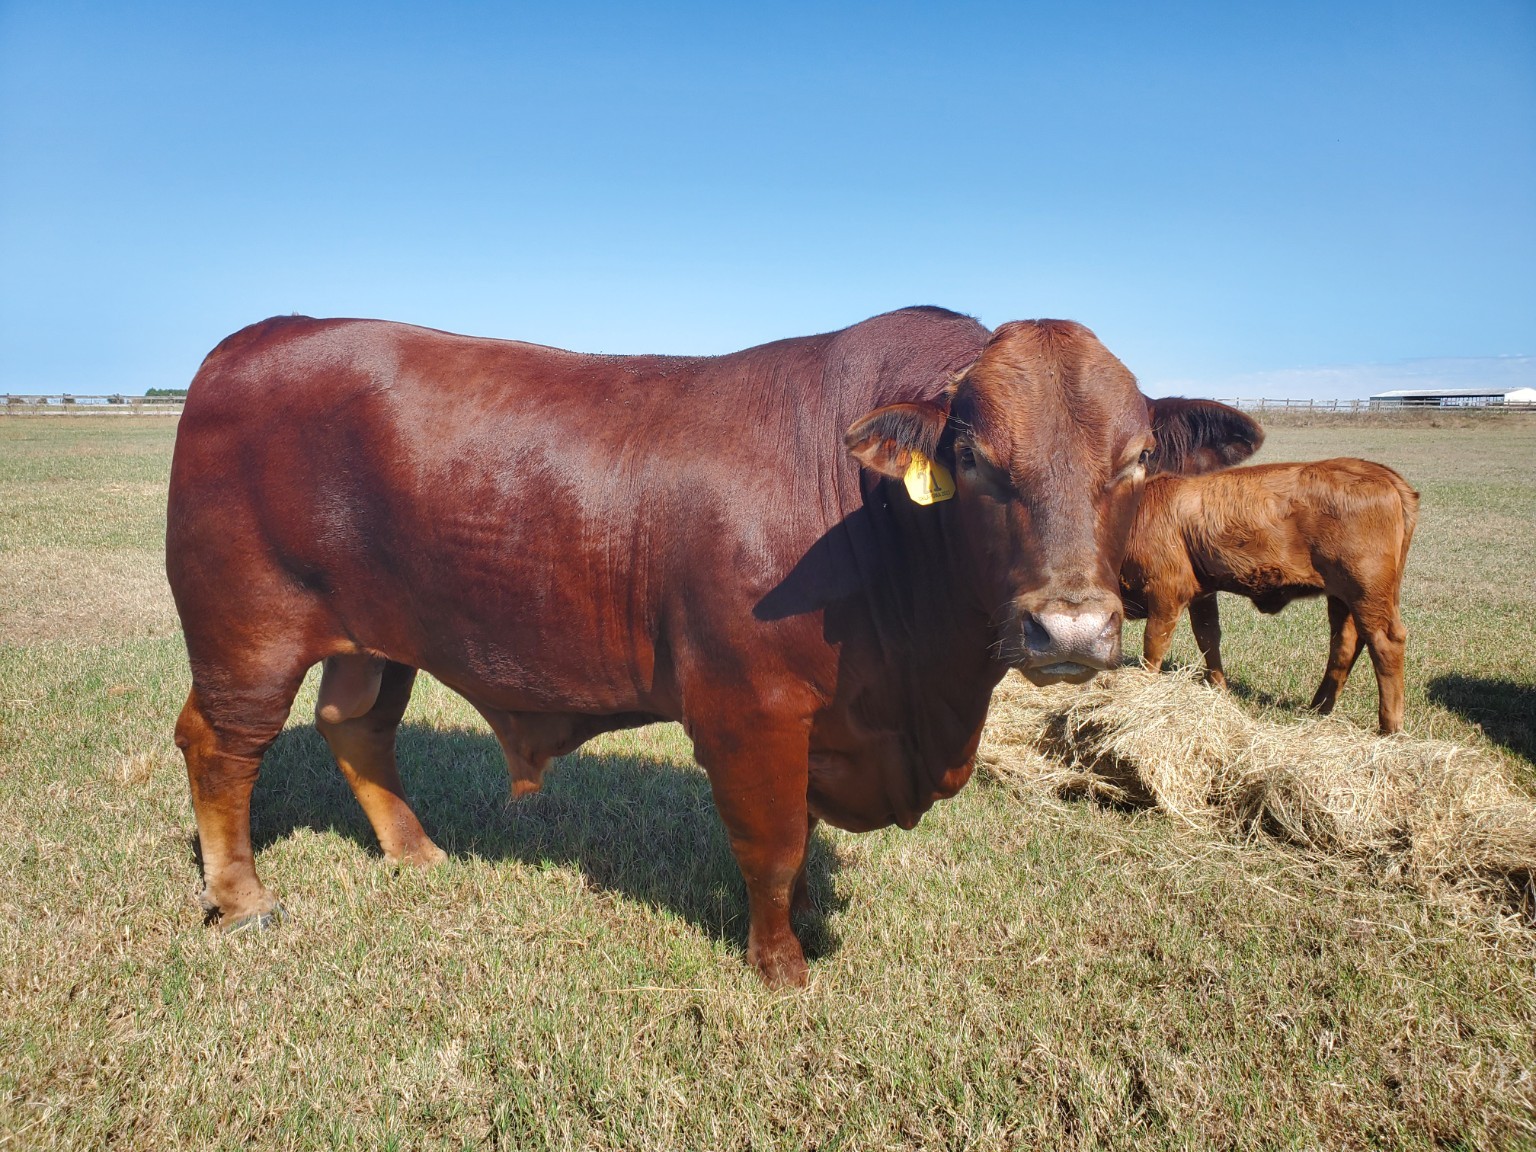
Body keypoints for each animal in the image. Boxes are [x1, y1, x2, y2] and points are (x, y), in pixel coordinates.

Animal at [166, 307, 1261, 986]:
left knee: (354, 725)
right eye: (980, 461)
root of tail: (258, 338)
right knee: (222, 745)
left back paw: (417, 853)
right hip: (247, 632)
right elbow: (770, 847)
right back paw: (242, 898)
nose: (1070, 626)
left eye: (1135, 462)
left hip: (375, 634)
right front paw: (782, 967)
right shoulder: (749, 709)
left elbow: (800, 843)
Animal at [1118, 458, 1419, 734]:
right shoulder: (1202, 594)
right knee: (1345, 644)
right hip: (1343, 596)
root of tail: (1376, 470)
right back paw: (1319, 709)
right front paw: (1220, 691)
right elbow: (1208, 638)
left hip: (1366, 590)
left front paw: (1142, 692)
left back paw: (1389, 728)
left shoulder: (1165, 591)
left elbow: (1153, 646)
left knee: (1385, 643)